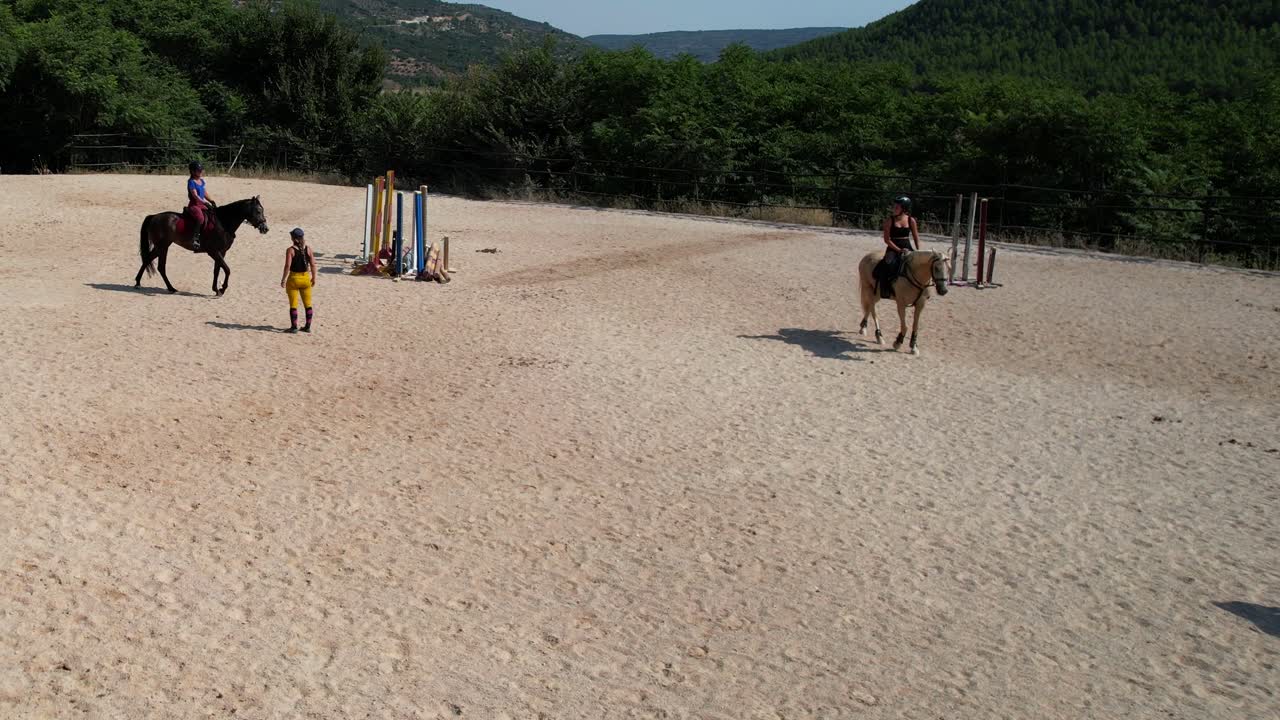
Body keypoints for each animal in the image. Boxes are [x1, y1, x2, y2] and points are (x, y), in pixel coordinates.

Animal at [135, 197, 269, 296]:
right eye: (258, 211)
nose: (265, 228)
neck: (223, 222)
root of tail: (154, 216)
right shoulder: (214, 252)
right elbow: (227, 269)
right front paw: (222, 288)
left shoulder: (221, 252)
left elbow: (217, 270)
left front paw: (216, 289)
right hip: (162, 246)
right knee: (158, 265)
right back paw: (166, 287)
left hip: (161, 247)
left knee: (150, 261)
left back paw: (142, 283)